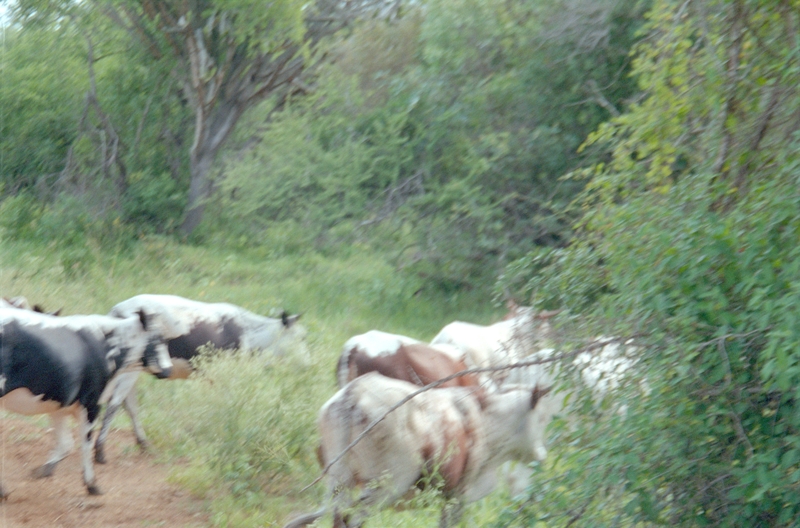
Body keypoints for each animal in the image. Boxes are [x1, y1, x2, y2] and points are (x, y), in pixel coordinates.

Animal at [0, 308, 172, 498]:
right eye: (160, 338)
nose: (169, 369)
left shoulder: (60, 403)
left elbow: (66, 444)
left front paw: (43, 470)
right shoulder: (91, 403)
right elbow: (86, 443)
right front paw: (91, 484)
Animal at [94, 292, 306, 462]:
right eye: (300, 337)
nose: (307, 365)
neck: (248, 332)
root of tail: (117, 309)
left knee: (130, 405)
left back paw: (144, 444)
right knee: (115, 403)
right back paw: (100, 451)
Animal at [282, 372, 552, 528]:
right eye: (541, 419)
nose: (542, 455)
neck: (485, 419)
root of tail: (354, 392)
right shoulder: (457, 495)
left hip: (338, 481)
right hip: (386, 487)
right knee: (352, 518)